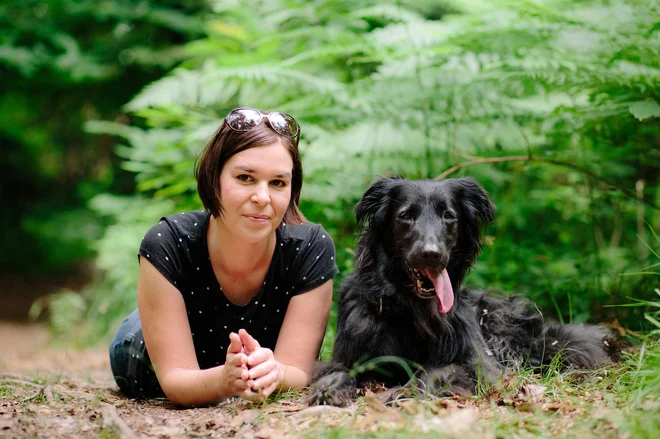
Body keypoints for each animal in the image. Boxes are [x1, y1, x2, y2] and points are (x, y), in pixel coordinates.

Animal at [306, 177, 620, 408]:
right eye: (406, 216)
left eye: (448, 216)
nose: (431, 254)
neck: (411, 310)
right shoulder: (350, 354)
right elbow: (337, 370)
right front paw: (330, 389)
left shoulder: (481, 366)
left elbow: (438, 370)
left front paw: (406, 391)